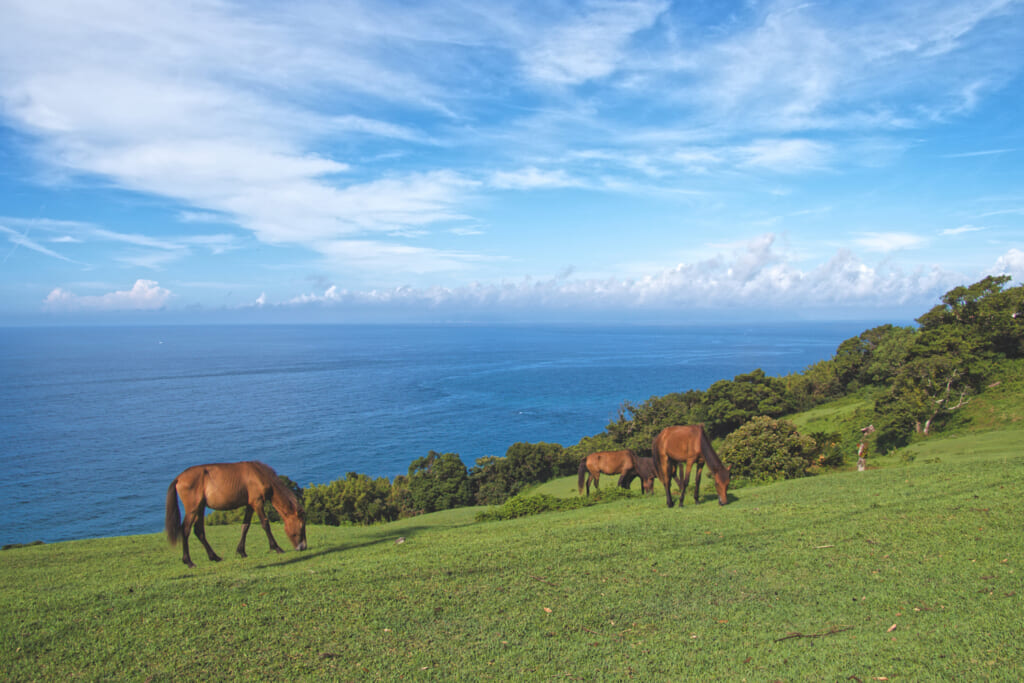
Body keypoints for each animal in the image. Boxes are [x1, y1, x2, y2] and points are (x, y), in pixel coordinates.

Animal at [163, 462, 305, 569]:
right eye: (302, 526)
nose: (303, 547)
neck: (259, 475)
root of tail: (179, 478)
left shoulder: (250, 505)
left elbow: (245, 526)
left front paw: (241, 551)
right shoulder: (257, 502)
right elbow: (265, 524)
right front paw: (276, 547)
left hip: (200, 507)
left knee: (199, 531)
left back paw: (214, 557)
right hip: (193, 508)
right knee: (185, 530)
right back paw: (189, 561)